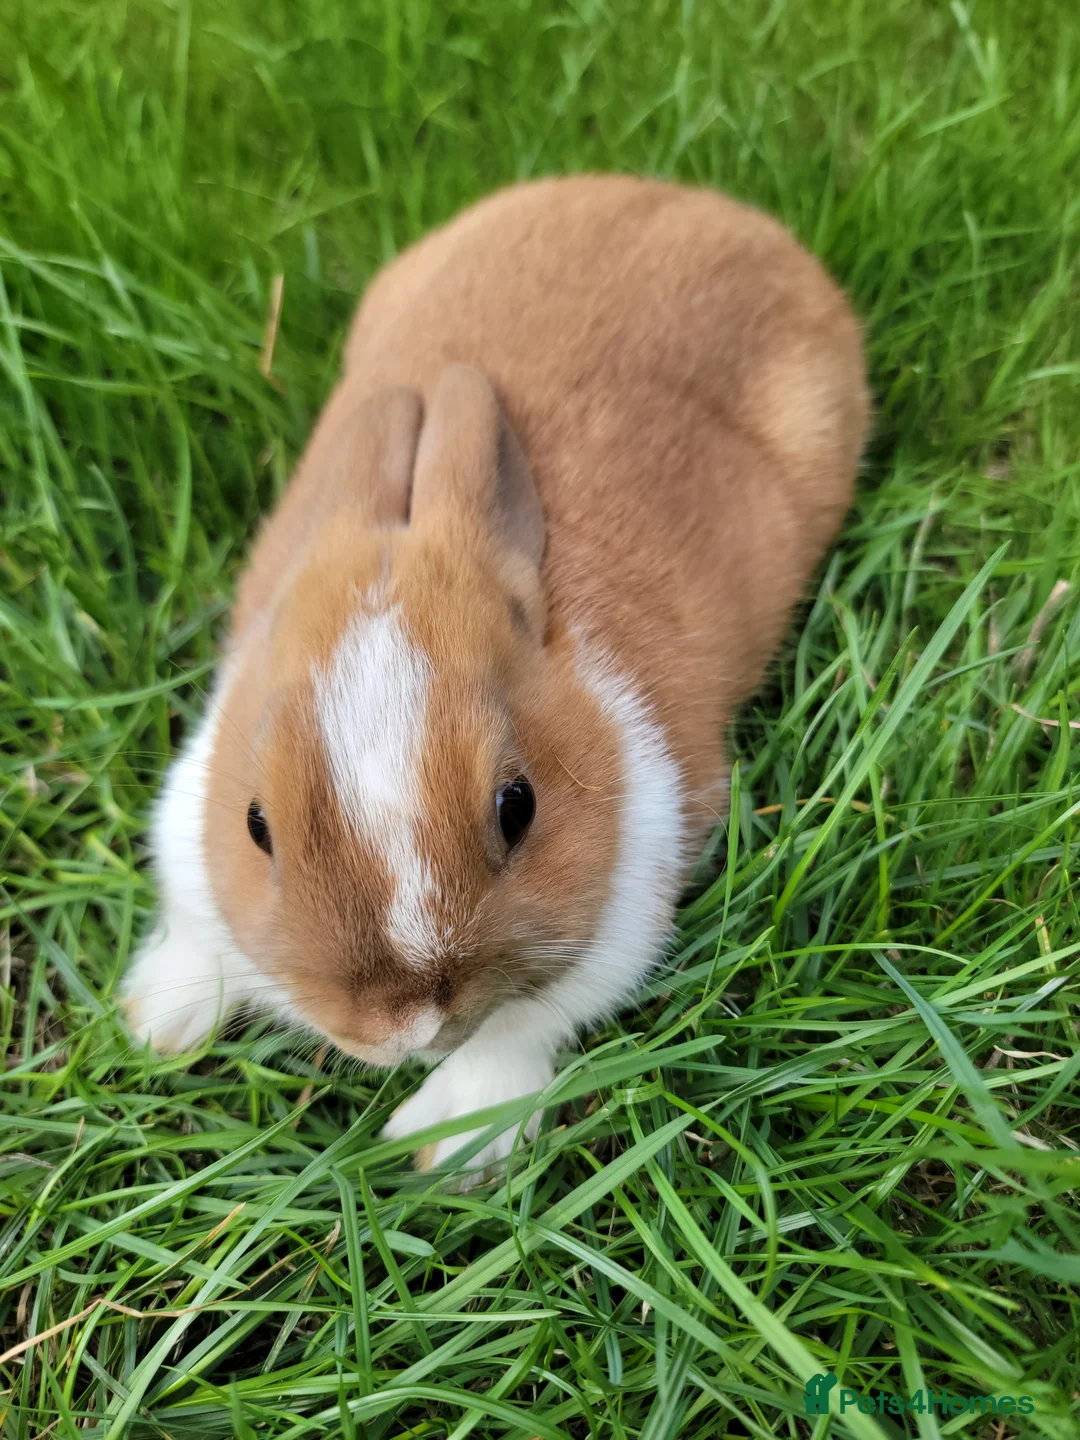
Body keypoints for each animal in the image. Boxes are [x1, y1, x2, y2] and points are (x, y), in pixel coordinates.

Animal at [124, 174, 868, 1174]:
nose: (401, 1025)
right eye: (255, 826)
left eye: (519, 807)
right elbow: (200, 930)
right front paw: (154, 1017)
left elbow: (526, 1026)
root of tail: (690, 200)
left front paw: (446, 1144)